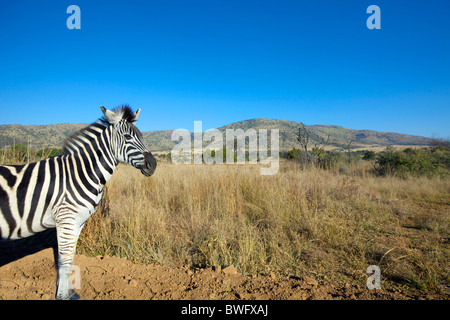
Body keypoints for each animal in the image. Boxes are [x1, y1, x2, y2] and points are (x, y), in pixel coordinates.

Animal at [0, 105, 156, 300]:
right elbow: (64, 260)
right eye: (128, 137)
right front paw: (62, 296)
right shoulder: (66, 220)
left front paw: (69, 292)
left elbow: (70, 259)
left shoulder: (77, 222)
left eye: (141, 137)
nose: (153, 164)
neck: (80, 173)